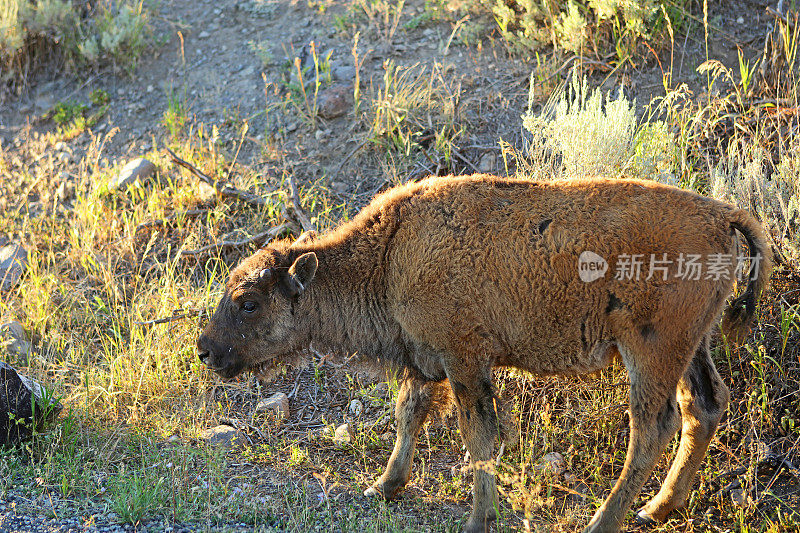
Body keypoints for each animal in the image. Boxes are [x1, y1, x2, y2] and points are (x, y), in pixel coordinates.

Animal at [197, 176, 772, 532]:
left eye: (248, 302)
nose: (205, 350)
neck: (390, 257)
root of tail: (724, 216)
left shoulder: (464, 360)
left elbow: (478, 435)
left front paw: (478, 518)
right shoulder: (426, 360)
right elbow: (409, 415)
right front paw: (383, 486)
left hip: (651, 353)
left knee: (652, 428)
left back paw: (605, 520)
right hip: (693, 347)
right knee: (705, 406)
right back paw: (658, 508)